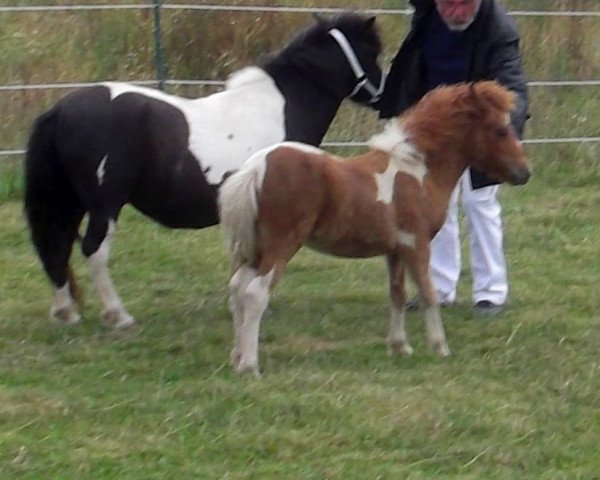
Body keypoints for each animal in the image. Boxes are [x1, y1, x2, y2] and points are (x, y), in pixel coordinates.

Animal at [24, 12, 384, 326]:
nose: (385, 99)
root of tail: (59, 110)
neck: (284, 103)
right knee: (92, 250)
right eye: (373, 52)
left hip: (69, 202)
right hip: (104, 203)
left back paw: (65, 313)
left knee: (56, 247)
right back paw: (118, 316)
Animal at [220, 81, 528, 376]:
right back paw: (250, 365)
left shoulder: (396, 249)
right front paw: (440, 347)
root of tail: (255, 168)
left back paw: (236, 358)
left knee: (237, 290)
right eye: (500, 130)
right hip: (281, 245)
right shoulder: (417, 244)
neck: (417, 170)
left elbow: (397, 293)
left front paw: (400, 347)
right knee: (255, 294)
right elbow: (428, 293)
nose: (524, 172)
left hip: (254, 249)